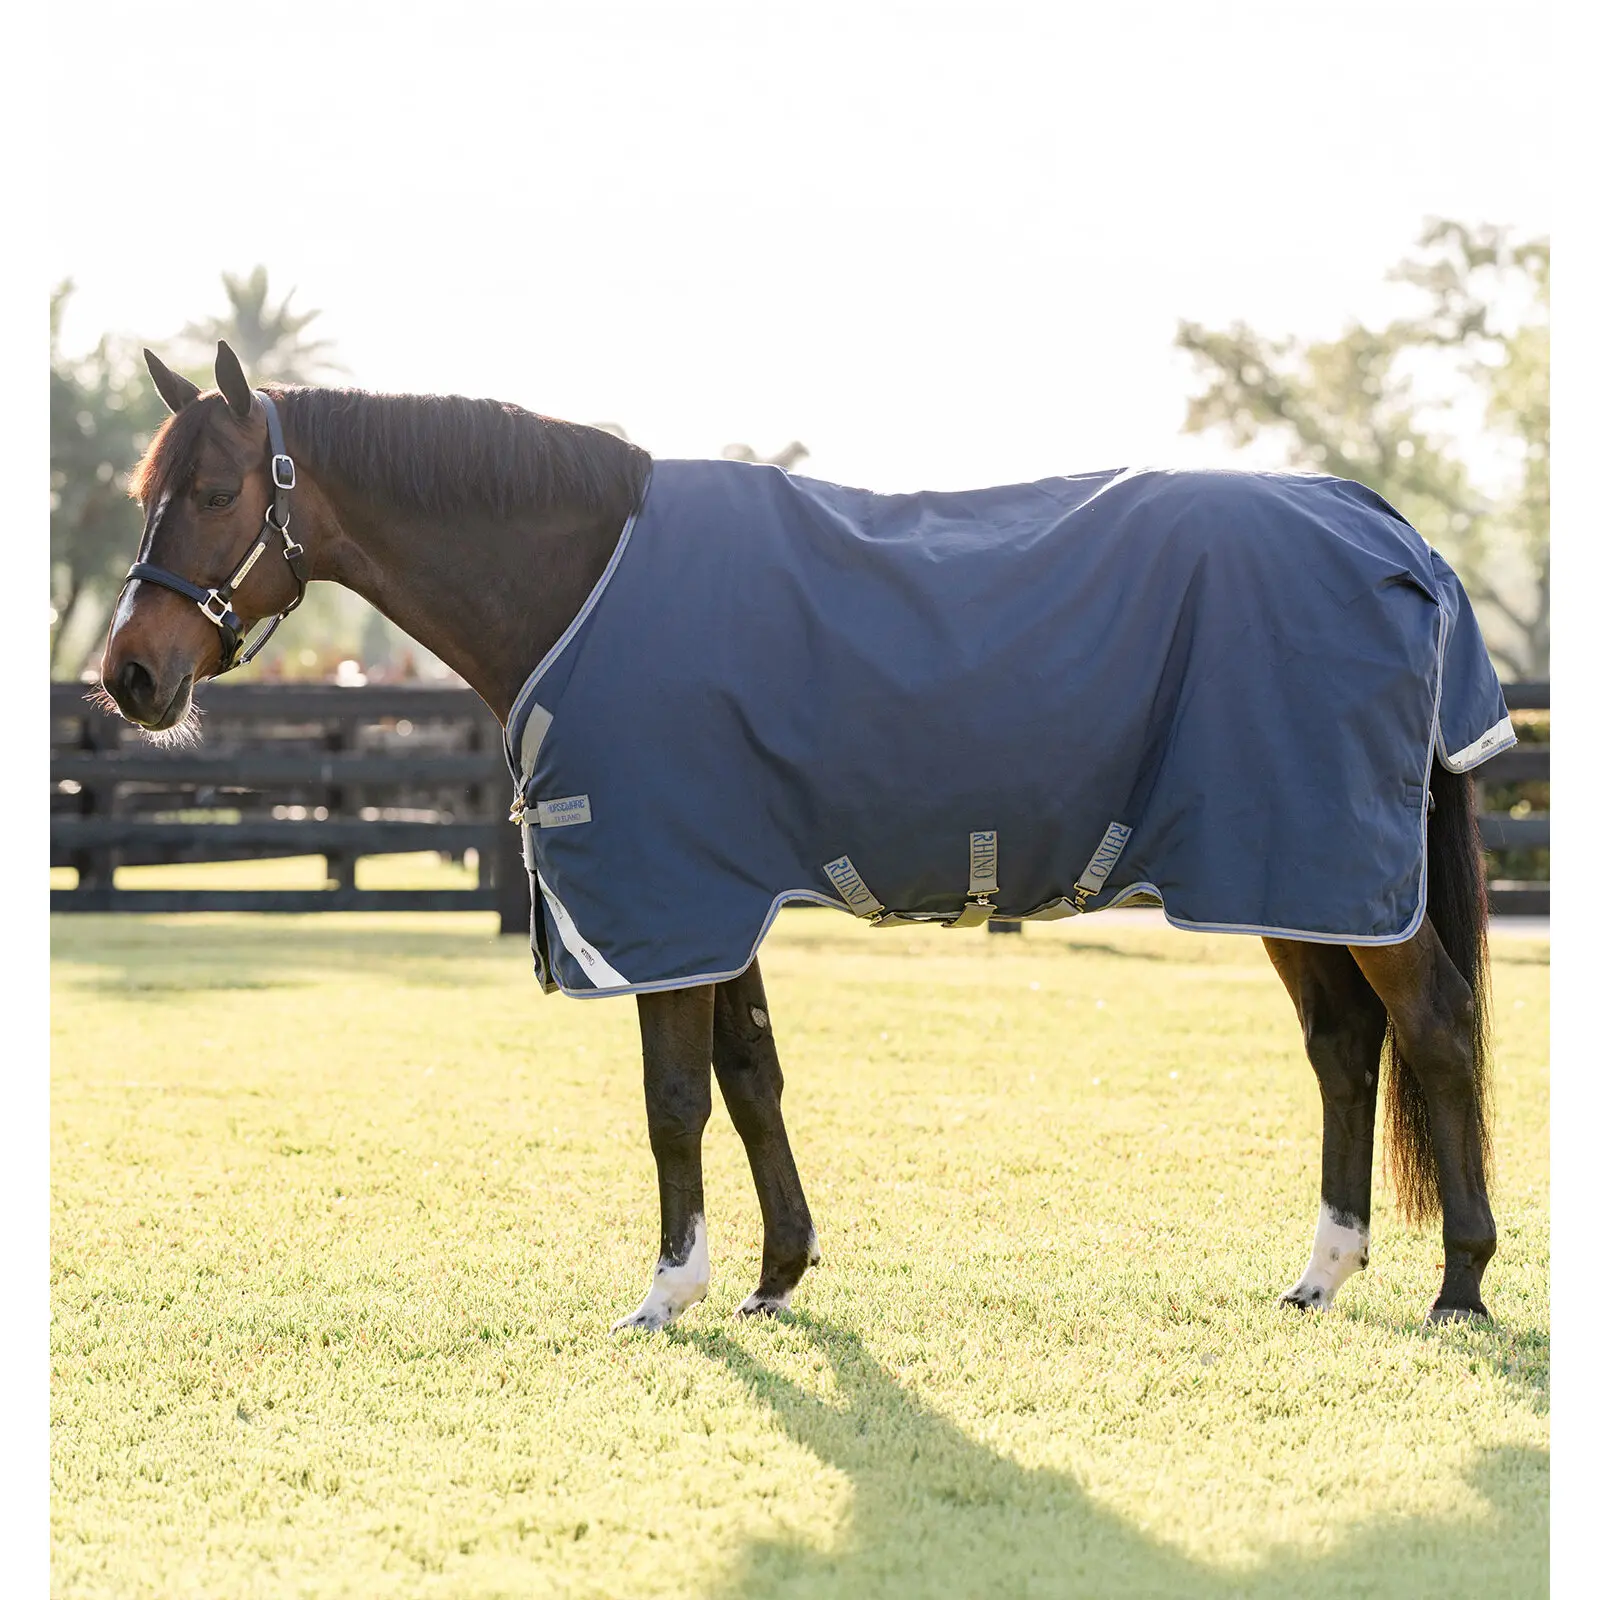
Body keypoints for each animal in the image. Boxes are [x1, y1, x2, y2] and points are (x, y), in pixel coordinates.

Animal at [96, 341, 1503, 1330]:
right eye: (141, 492)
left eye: (214, 490)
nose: (129, 678)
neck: (586, 579)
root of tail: (1386, 526)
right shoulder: (722, 895)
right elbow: (750, 1075)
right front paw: (777, 1275)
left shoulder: (666, 896)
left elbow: (672, 1098)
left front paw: (669, 1292)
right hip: (1285, 871)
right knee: (1343, 1044)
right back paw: (1324, 1271)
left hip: (1326, 862)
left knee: (1432, 1025)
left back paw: (1460, 1281)